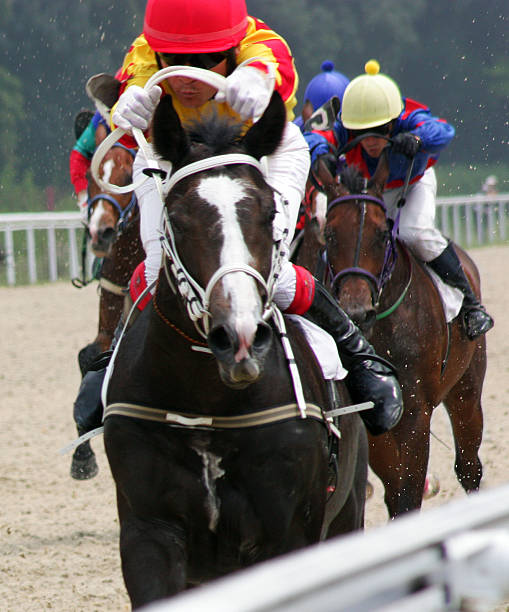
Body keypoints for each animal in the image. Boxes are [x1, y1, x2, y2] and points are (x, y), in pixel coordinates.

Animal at [296, 152, 486, 516]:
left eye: (382, 234)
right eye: (330, 233)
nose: (357, 311)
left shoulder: (415, 411)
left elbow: (409, 490)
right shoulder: (375, 414)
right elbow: (396, 489)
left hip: (466, 389)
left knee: (469, 466)